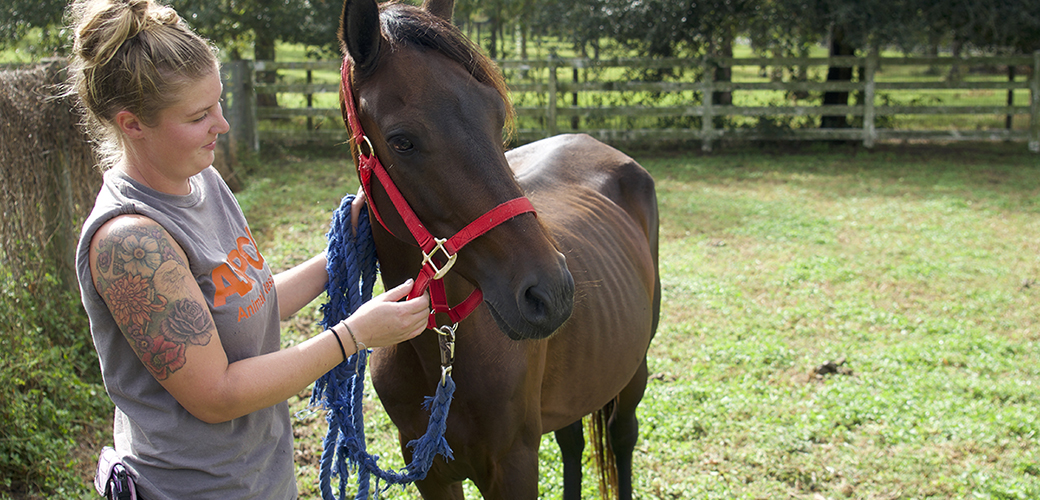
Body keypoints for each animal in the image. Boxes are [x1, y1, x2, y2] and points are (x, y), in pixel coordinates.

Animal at [341, 1, 661, 496]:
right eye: (402, 141)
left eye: (496, 117)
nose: (551, 293)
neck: (441, 361)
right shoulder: (429, 472)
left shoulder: (514, 466)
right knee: (572, 441)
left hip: (634, 369)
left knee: (621, 436)